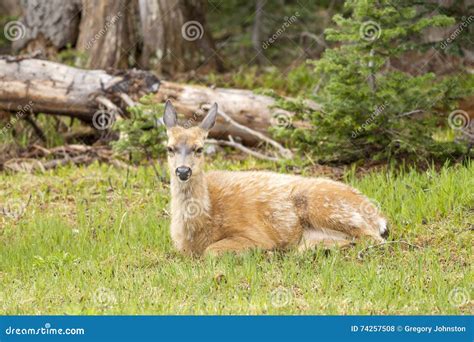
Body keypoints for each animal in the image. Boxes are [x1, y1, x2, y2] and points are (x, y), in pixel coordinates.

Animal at [163, 100, 388, 255]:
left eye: (199, 148)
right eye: (170, 148)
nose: (183, 171)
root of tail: (378, 215)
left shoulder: (254, 233)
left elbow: (211, 251)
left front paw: (265, 252)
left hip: (328, 207)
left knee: (375, 239)